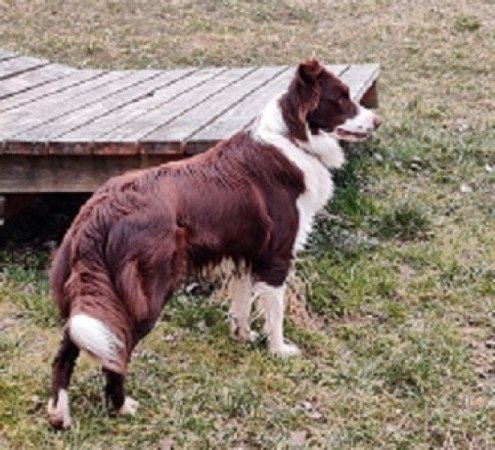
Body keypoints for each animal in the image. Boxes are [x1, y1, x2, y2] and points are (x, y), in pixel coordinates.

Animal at [46, 59, 382, 428]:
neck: (294, 139)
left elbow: (242, 304)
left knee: (70, 344)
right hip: (145, 293)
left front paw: (244, 337)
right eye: (342, 98)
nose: (378, 120)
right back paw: (121, 406)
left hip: (95, 292)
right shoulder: (276, 258)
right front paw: (279, 351)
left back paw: (59, 413)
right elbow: (275, 313)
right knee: (114, 351)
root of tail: (99, 211)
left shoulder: (244, 254)